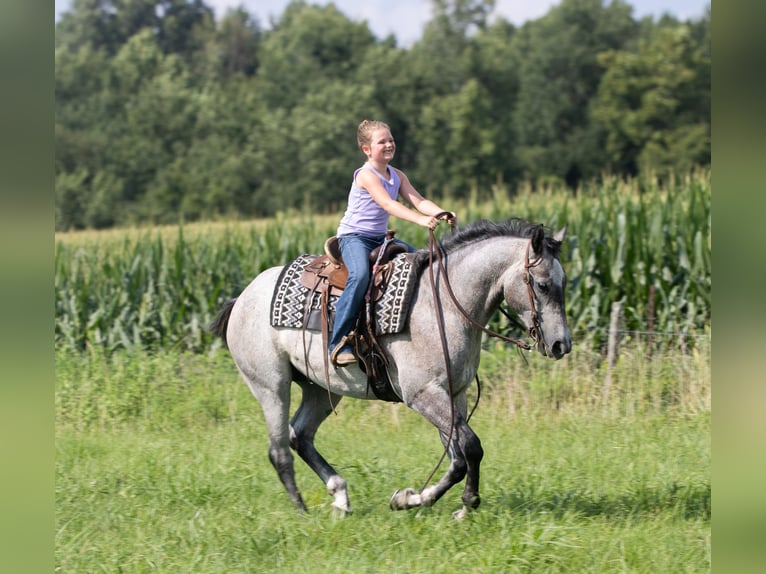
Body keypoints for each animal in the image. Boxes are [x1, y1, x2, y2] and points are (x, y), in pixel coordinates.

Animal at [209, 218, 571, 519]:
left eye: (565, 283)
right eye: (541, 284)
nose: (561, 345)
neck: (442, 306)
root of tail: (242, 298)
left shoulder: (453, 394)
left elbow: (457, 457)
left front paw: (416, 499)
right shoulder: (422, 394)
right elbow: (470, 448)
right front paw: (458, 504)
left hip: (320, 390)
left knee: (301, 436)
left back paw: (340, 496)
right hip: (272, 387)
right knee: (279, 449)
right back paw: (302, 511)